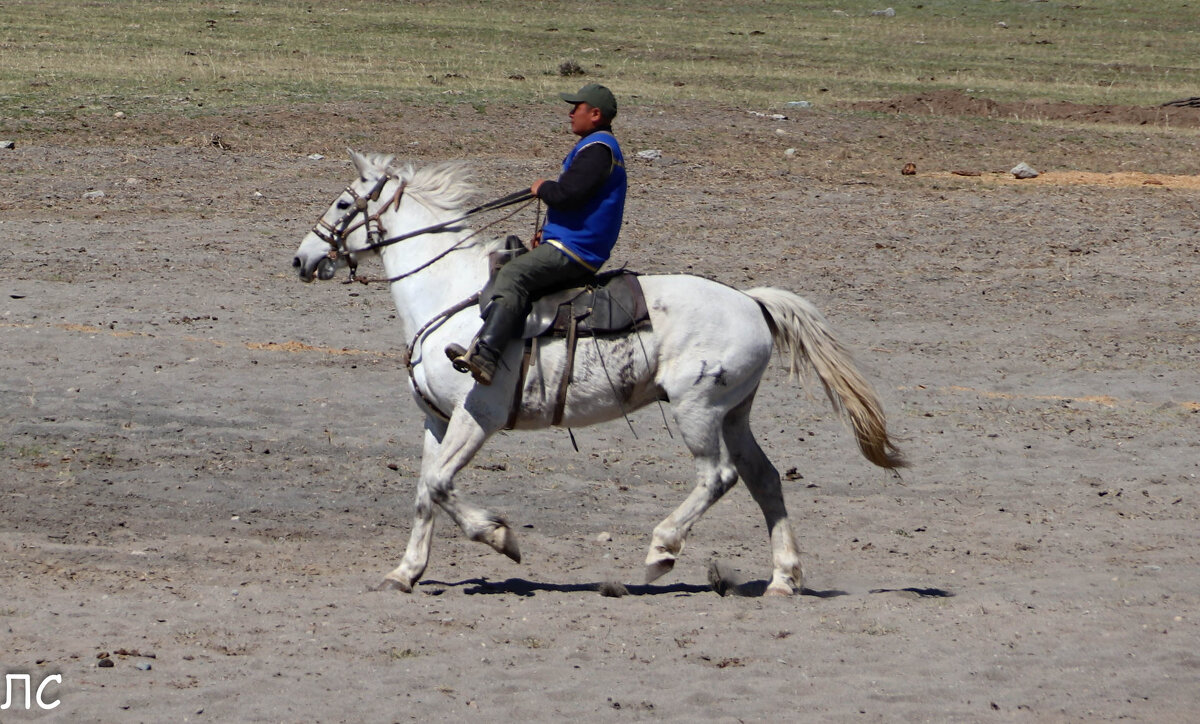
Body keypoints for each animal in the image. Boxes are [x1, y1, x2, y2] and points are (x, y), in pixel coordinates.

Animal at [292, 150, 902, 597]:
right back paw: (783, 579)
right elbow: (425, 491)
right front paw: (406, 572)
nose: (301, 259)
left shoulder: (476, 416)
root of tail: (751, 301)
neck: (451, 295)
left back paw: (661, 551)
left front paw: (501, 537)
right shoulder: (436, 421)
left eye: (343, 202)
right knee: (765, 479)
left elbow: (442, 484)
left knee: (718, 477)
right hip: (735, 413)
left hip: (698, 411)